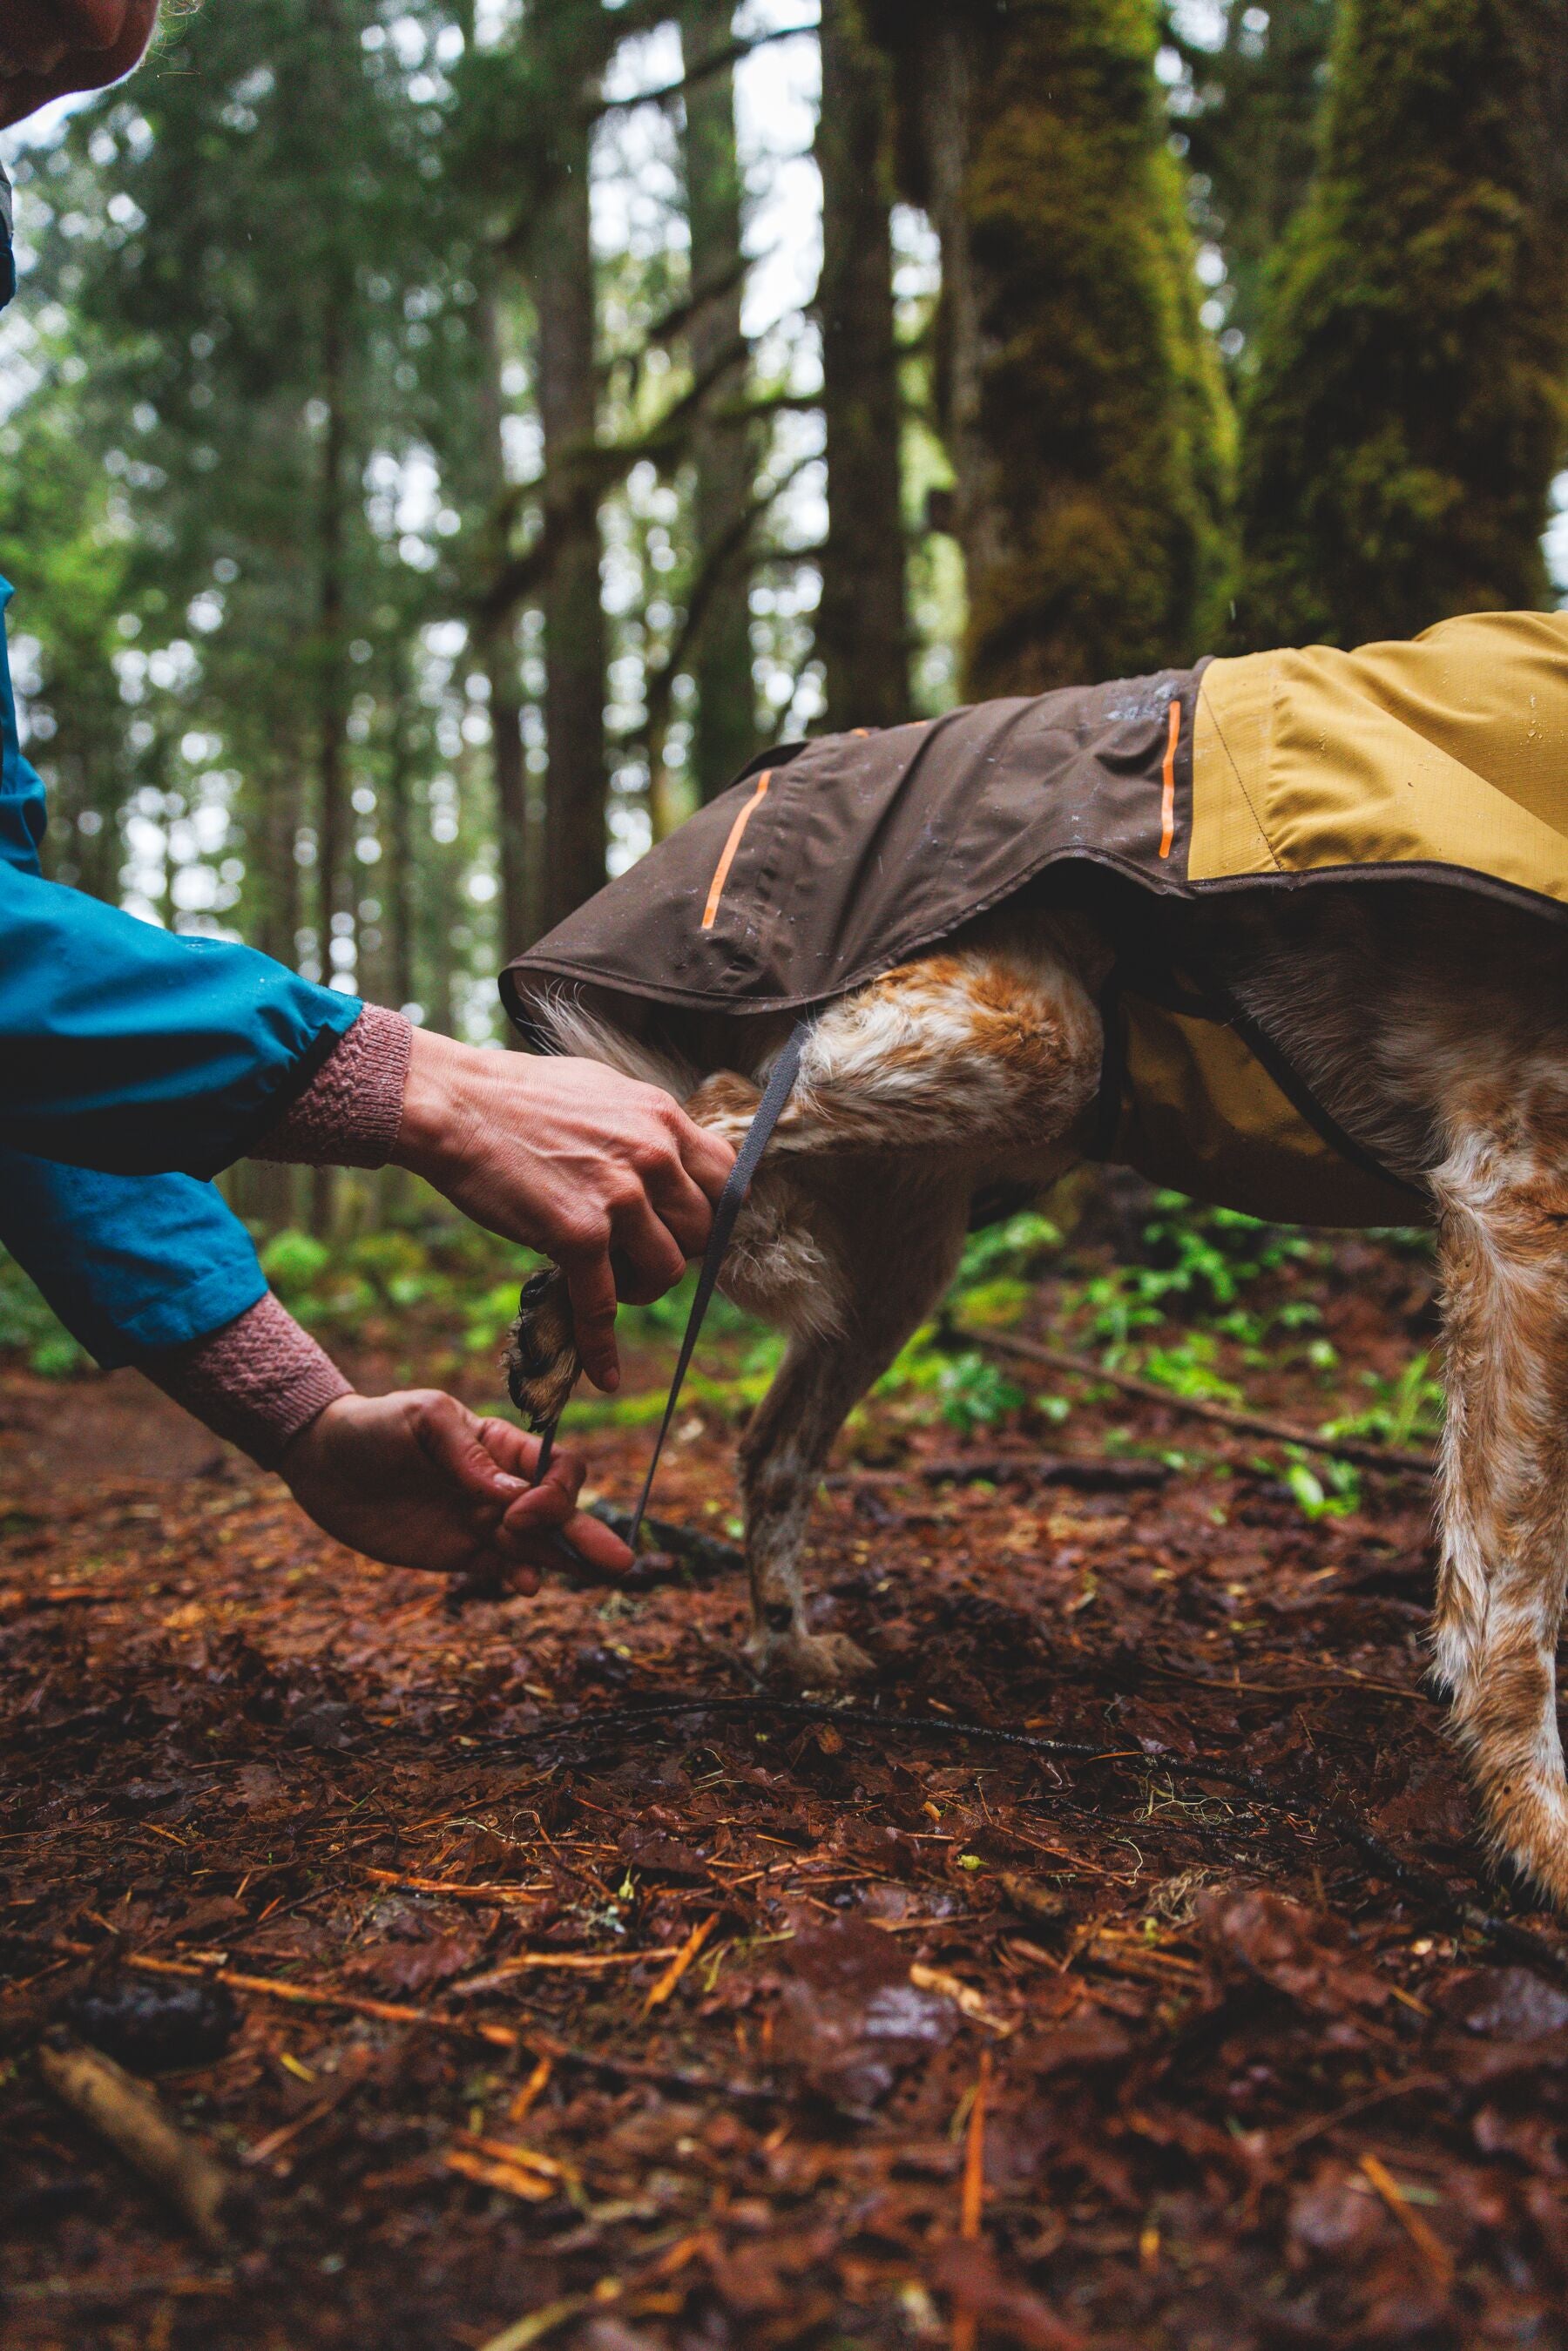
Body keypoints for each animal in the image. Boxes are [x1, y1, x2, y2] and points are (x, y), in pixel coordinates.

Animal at [510, 620, 1568, 1908]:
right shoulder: (1514, 1183)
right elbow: (1514, 1583)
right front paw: (1538, 1827)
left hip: (912, 1241)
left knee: (768, 1441)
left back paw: (789, 1644)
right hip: (1024, 1041)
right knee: (702, 1117)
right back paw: (564, 1306)